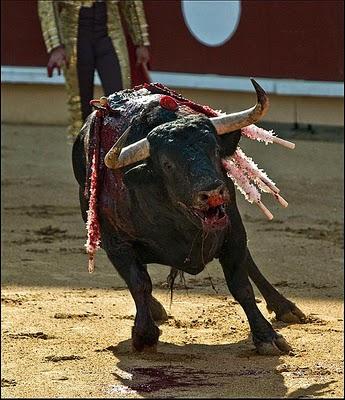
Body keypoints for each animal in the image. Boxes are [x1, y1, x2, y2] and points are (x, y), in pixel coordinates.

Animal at [72, 79, 304, 354]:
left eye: (215, 150)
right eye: (167, 164)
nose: (212, 192)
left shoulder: (233, 231)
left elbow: (241, 284)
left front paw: (266, 336)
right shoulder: (116, 242)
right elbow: (139, 282)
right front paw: (144, 334)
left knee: (248, 261)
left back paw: (285, 307)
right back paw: (154, 311)